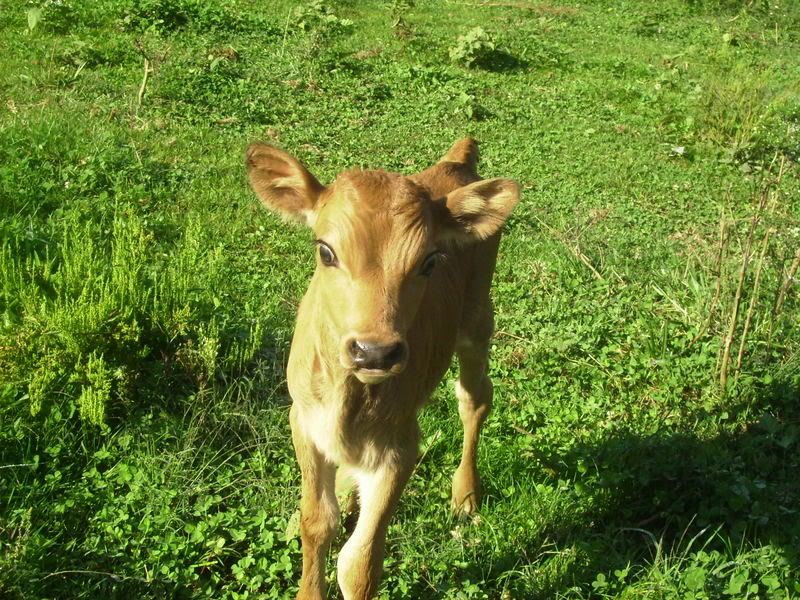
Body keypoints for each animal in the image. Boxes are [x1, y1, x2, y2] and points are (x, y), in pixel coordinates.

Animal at [246, 138, 519, 600]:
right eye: (325, 251)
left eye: (430, 261)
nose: (374, 352)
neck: (348, 397)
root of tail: (454, 163)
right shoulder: (303, 421)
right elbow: (315, 522)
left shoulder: (399, 447)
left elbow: (359, 564)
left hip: (478, 320)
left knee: (475, 398)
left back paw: (465, 494)